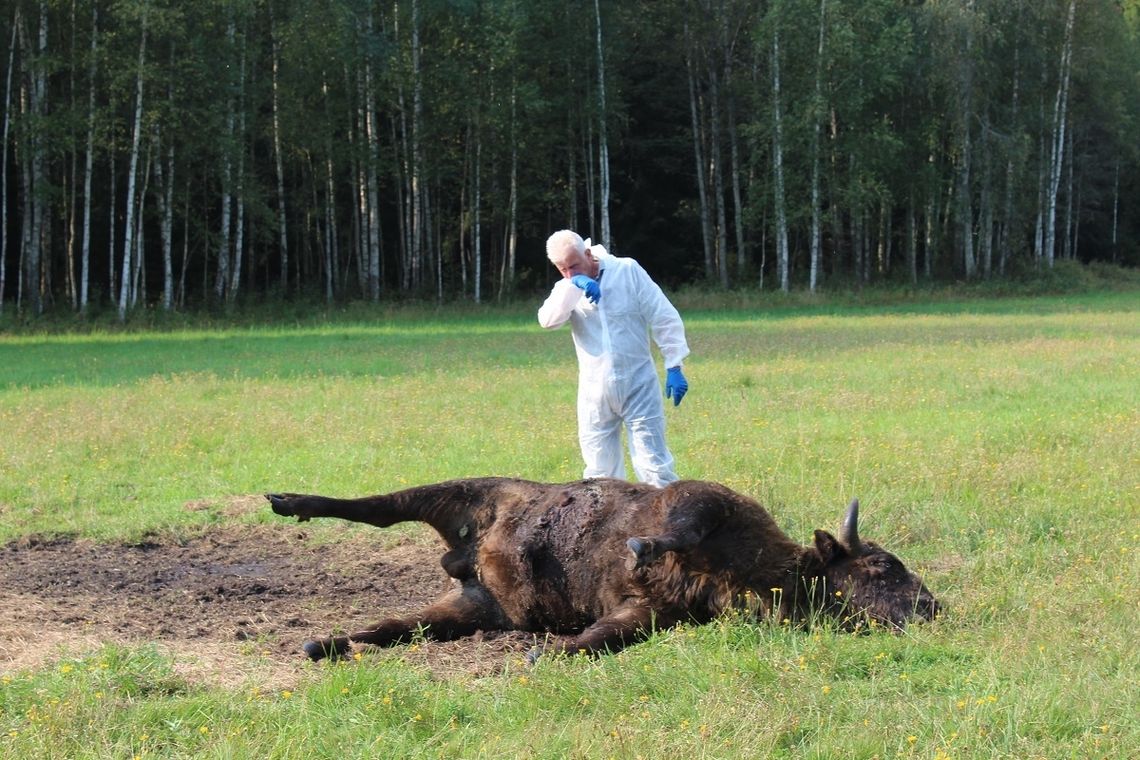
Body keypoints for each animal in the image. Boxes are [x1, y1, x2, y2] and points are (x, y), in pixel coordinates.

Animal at [264, 478, 934, 660]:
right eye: (882, 565)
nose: (932, 605)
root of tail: (468, 559)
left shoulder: (651, 613)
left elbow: (599, 638)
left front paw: (545, 653)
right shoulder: (704, 501)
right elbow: (676, 526)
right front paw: (640, 546)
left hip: (473, 607)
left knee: (396, 627)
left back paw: (325, 644)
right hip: (462, 491)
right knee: (375, 508)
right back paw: (288, 501)